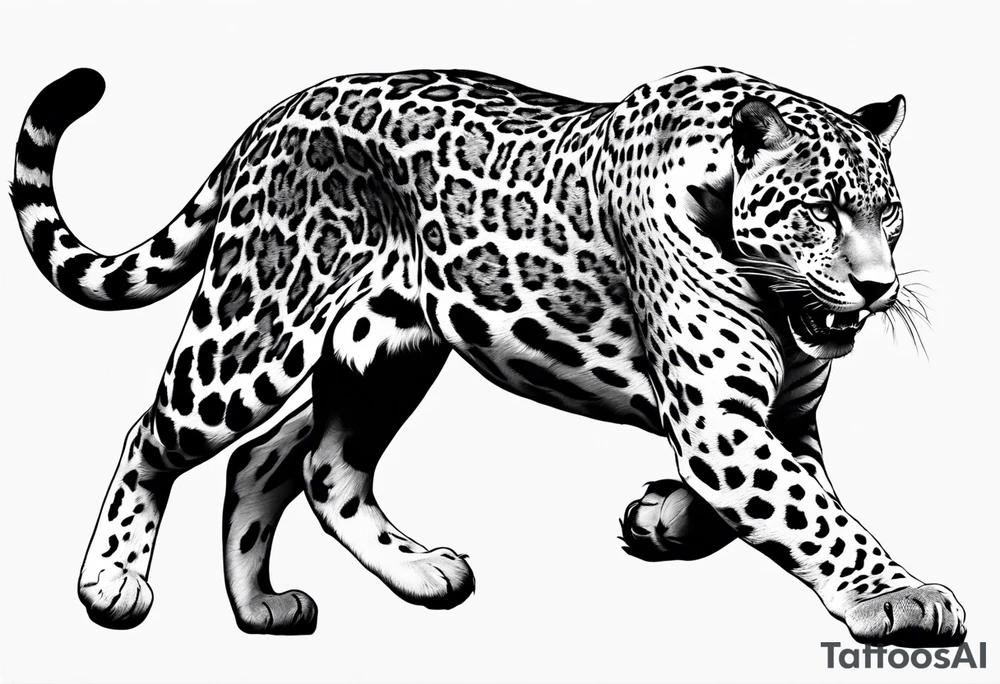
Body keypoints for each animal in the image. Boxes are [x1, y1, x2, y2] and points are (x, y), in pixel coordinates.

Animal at [11, 65, 966, 645]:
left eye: (890, 211)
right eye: (822, 210)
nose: (877, 287)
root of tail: (269, 119)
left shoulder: (779, 418)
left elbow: (786, 501)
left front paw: (657, 517)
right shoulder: (719, 421)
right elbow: (813, 515)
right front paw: (901, 596)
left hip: (382, 357)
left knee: (301, 464)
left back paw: (294, 601)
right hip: (254, 329)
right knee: (155, 432)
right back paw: (111, 585)